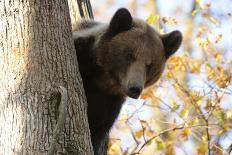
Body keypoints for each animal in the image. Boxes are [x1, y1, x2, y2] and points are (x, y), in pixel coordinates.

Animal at [73, 8, 182, 155]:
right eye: (130, 55)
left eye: (150, 64)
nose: (135, 88)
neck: (103, 79)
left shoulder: (108, 103)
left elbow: (96, 130)